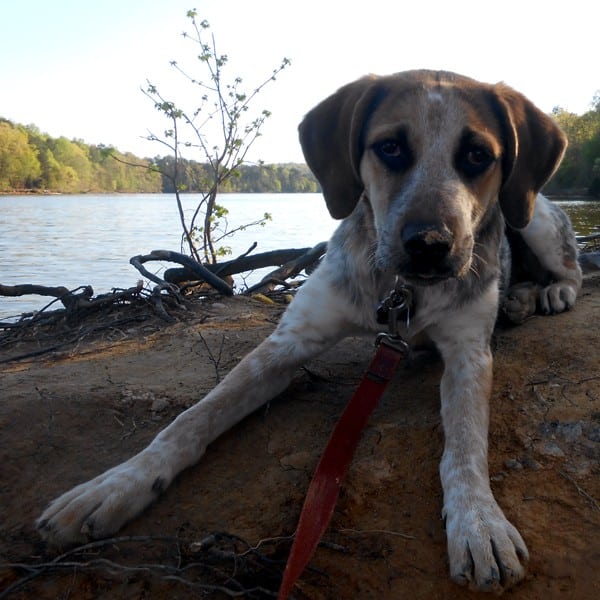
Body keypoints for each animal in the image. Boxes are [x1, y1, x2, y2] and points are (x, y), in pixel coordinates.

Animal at [36, 69, 580, 592]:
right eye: (390, 147)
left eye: (477, 155)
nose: (429, 245)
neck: (403, 290)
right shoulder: (290, 340)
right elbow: (193, 417)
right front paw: (119, 483)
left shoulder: (469, 353)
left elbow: (465, 446)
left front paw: (478, 522)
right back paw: (520, 298)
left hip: (534, 219)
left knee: (570, 269)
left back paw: (547, 294)